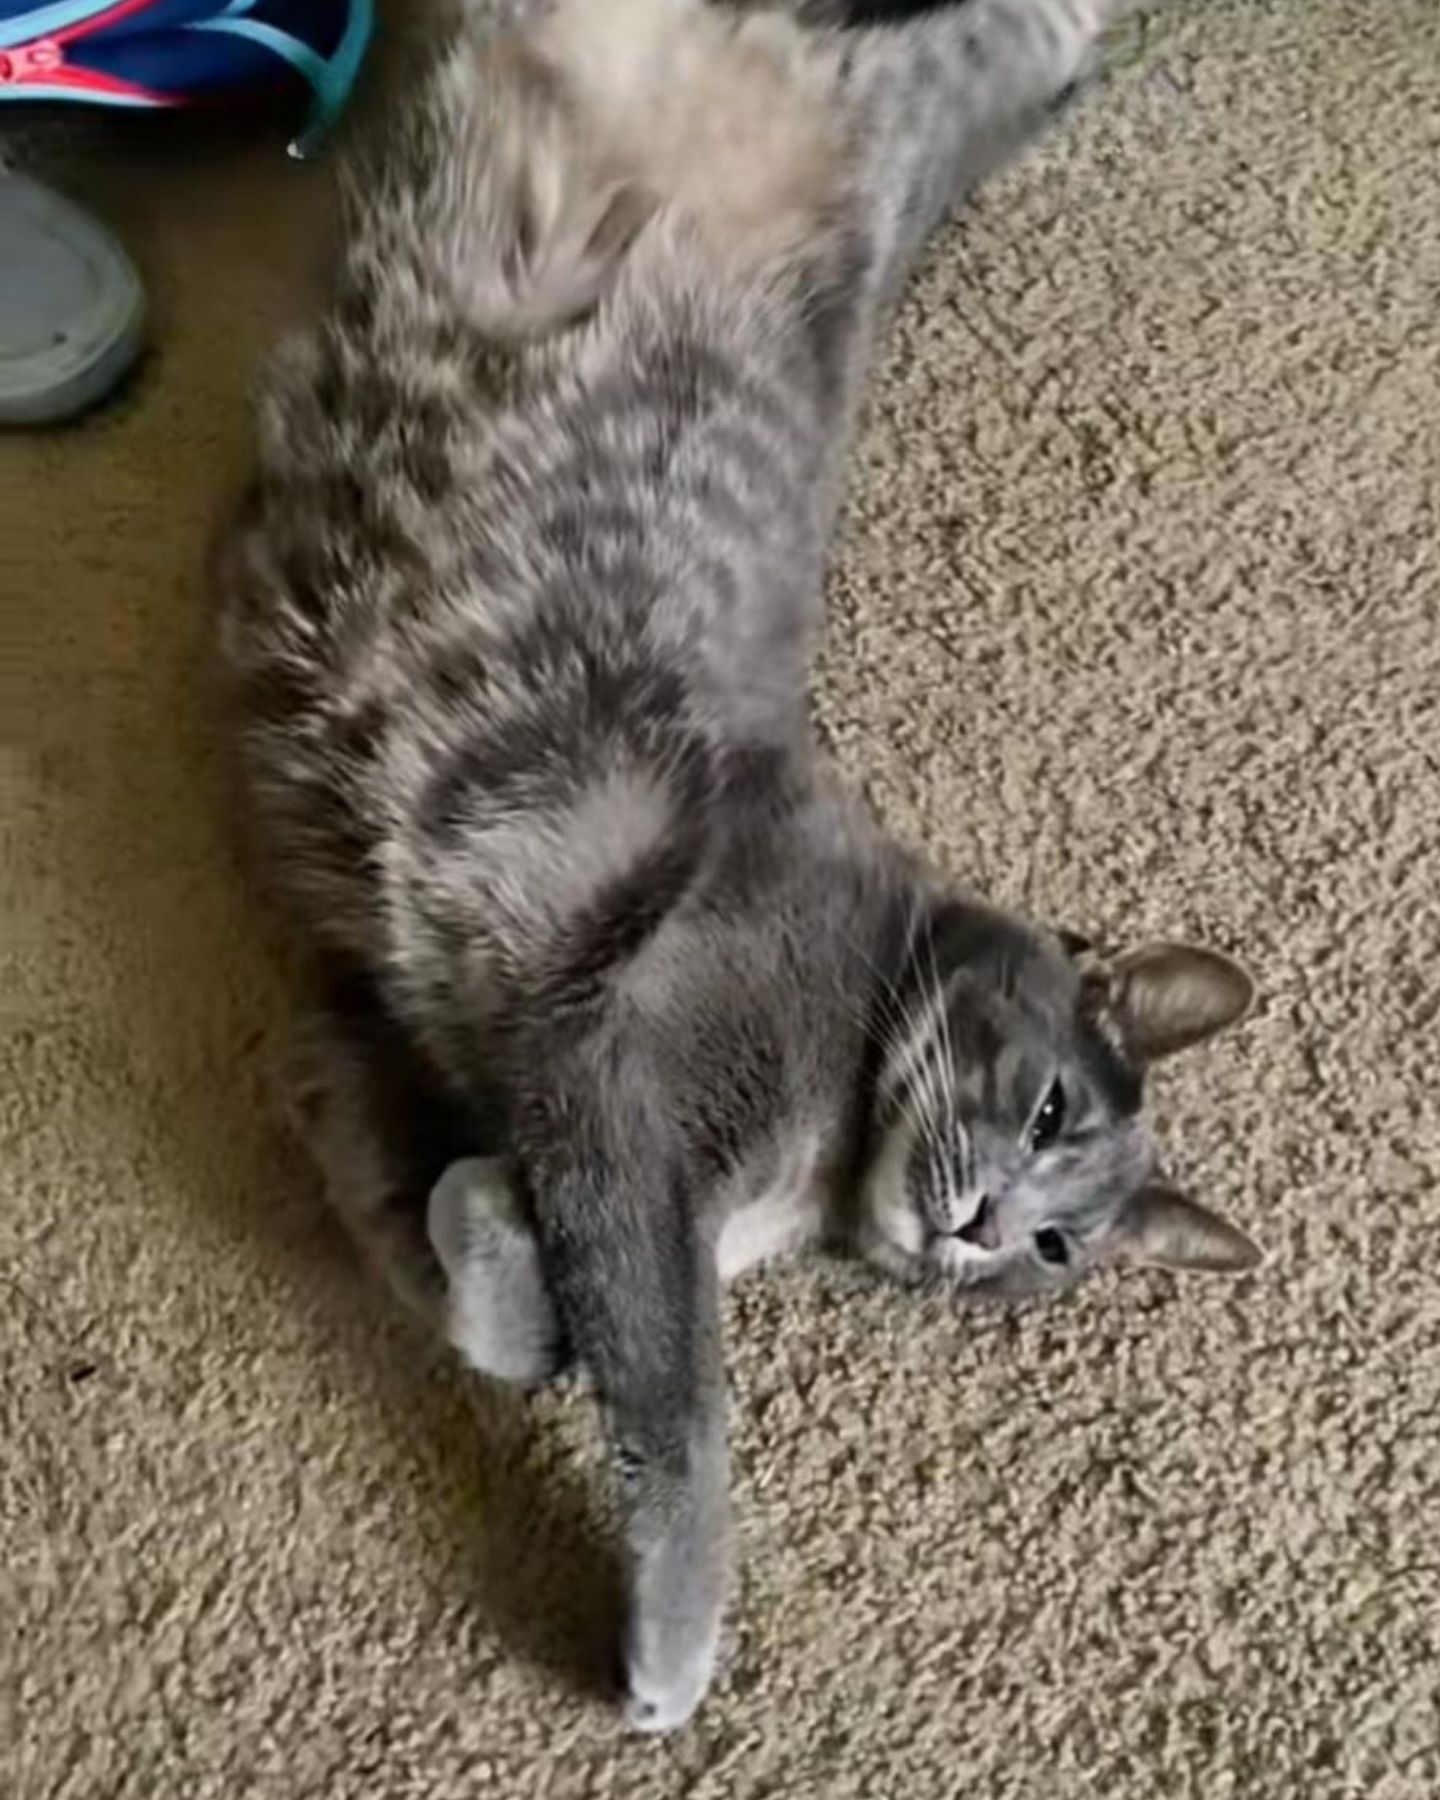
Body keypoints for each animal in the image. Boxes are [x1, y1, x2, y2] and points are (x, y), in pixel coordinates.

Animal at [207, 0, 1252, 1728]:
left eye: (1056, 1252)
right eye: (1047, 1112)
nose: (984, 1232)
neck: (818, 1169)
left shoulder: (422, 1044)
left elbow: (464, 1254)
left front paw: (465, 1223)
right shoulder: (625, 1069)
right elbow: (673, 1397)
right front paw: (674, 1640)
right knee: (1047, 31)